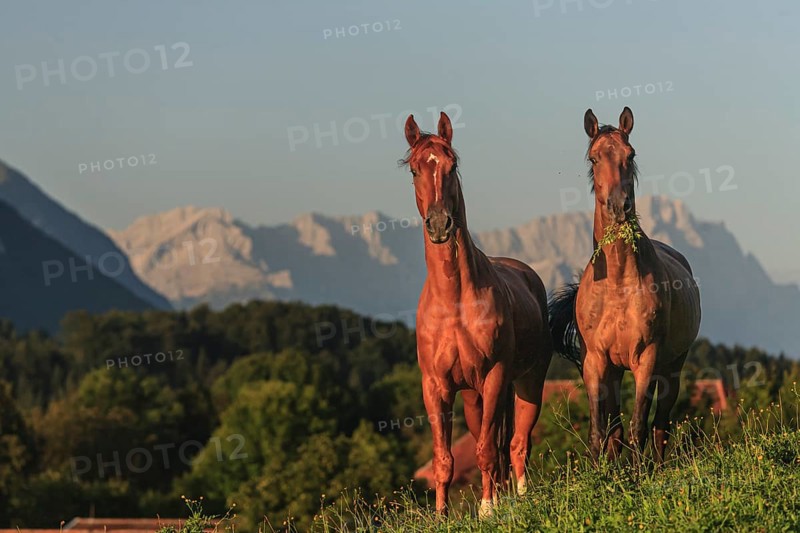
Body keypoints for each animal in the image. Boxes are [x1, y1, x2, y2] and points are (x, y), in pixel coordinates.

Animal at [401, 112, 552, 516]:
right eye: (415, 170)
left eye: (452, 165)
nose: (440, 224)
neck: (454, 302)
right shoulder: (435, 386)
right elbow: (444, 459)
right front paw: (441, 515)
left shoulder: (495, 376)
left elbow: (487, 449)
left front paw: (487, 509)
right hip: (472, 397)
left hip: (527, 383)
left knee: (516, 443)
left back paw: (519, 497)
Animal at [549, 107, 701, 463]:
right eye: (594, 158)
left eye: (630, 154)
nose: (619, 205)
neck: (618, 283)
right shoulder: (595, 363)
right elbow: (600, 431)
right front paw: (602, 474)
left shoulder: (647, 360)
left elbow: (638, 428)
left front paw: (637, 474)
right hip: (617, 371)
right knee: (618, 429)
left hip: (672, 366)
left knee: (659, 425)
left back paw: (655, 469)